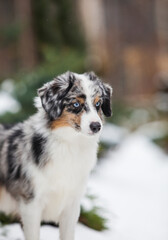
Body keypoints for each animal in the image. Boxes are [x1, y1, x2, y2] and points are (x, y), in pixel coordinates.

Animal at [0, 71, 113, 240]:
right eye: (76, 104)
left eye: (98, 104)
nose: (96, 126)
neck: (70, 145)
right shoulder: (31, 203)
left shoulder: (72, 204)